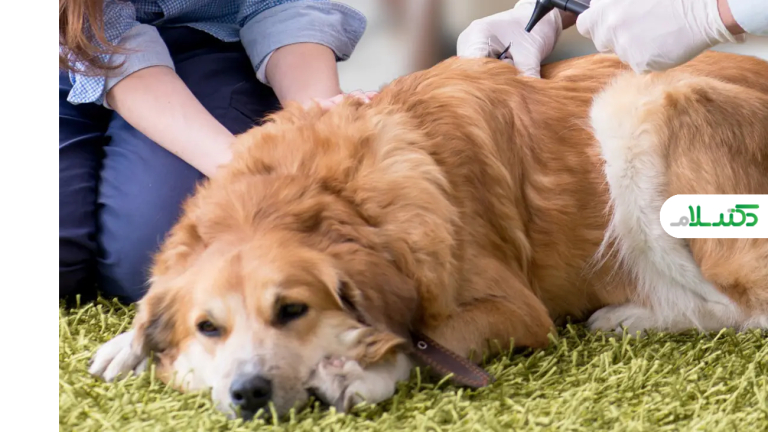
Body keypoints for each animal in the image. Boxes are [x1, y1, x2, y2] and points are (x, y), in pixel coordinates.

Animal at [88, 51, 768, 420]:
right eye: (209, 327)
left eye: (292, 310)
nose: (247, 392)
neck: (327, 195)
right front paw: (128, 342)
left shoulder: (517, 310)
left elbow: (428, 340)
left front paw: (364, 372)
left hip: (635, 105)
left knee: (744, 308)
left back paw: (630, 316)